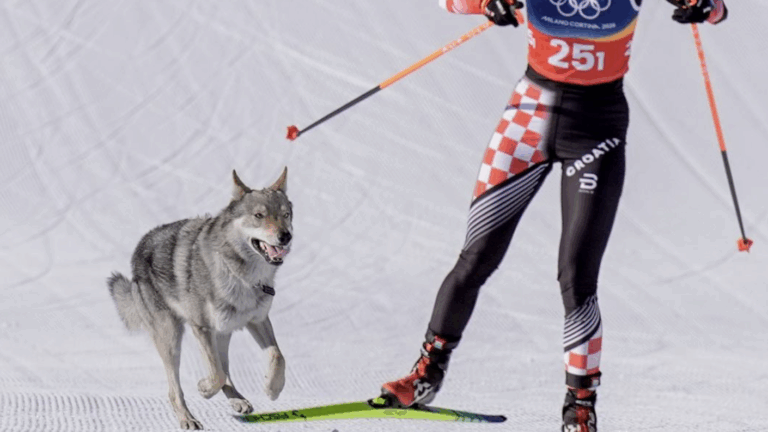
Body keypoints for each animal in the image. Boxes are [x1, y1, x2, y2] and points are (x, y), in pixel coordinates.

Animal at [107, 168, 292, 430]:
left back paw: (238, 401)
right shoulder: (201, 327)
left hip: (223, 331)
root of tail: (140, 248)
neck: (243, 277)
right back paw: (188, 419)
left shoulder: (258, 321)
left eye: (286, 215)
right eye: (259, 215)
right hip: (172, 338)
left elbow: (277, 356)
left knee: (226, 371)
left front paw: (272, 388)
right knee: (176, 390)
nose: (285, 236)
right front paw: (204, 388)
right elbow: (215, 373)